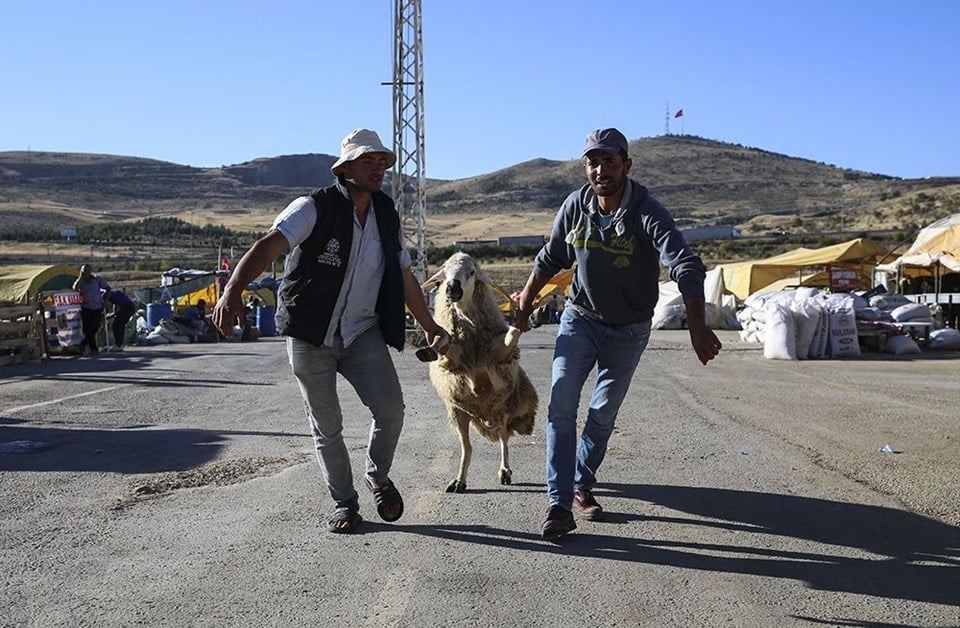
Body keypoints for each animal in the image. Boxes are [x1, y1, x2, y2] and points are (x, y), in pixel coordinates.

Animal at [422, 253, 536, 494]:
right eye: (445, 272)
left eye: (472, 272)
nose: (452, 288)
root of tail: (486, 415)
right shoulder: (452, 360)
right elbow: (443, 343)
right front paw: (430, 347)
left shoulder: (498, 356)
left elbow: (512, 336)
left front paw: (528, 319)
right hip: (458, 413)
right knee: (467, 447)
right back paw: (459, 481)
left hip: (504, 408)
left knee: (503, 438)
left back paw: (504, 471)